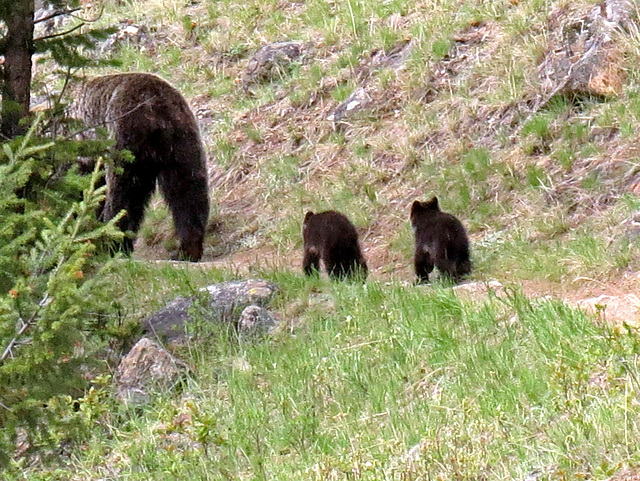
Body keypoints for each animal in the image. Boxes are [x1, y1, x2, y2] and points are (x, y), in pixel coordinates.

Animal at [73, 71, 209, 260]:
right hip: (182, 140)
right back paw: (188, 249)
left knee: (124, 196)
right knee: (187, 191)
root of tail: (156, 105)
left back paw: (114, 243)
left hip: (124, 139)